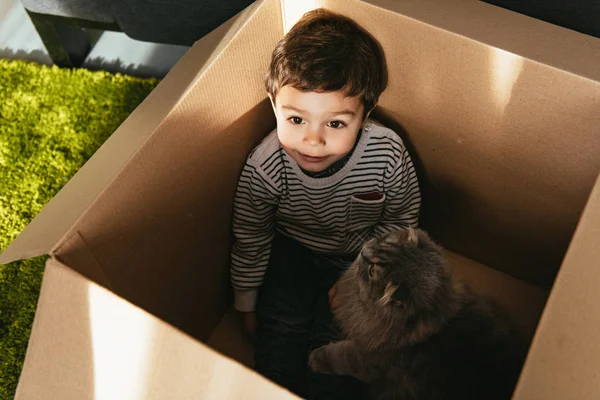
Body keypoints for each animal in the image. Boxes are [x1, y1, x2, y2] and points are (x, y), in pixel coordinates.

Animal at [310, 228, 524, 400]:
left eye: (371, 270)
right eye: (382, 242)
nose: (364, 250)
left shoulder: (368, 357)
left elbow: (339, 355)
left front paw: (316, 358)